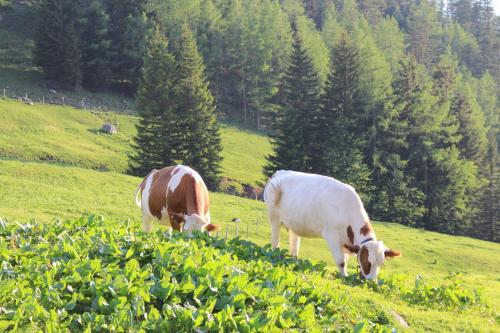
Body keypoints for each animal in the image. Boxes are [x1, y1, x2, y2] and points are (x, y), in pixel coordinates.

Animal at [264, 170, 400, 278]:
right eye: (367, 261)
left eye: (381, 263)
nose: (371, 281)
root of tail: (281, 172)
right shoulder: (332, 235)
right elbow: (341, 261)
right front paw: (344, 277)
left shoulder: (347, 242)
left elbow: (345, 260)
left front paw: (344, 274)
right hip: (274, 216)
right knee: (275, 241)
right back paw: (275, 255)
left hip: (294, 224)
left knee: (294, 243)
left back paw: (294, 262)